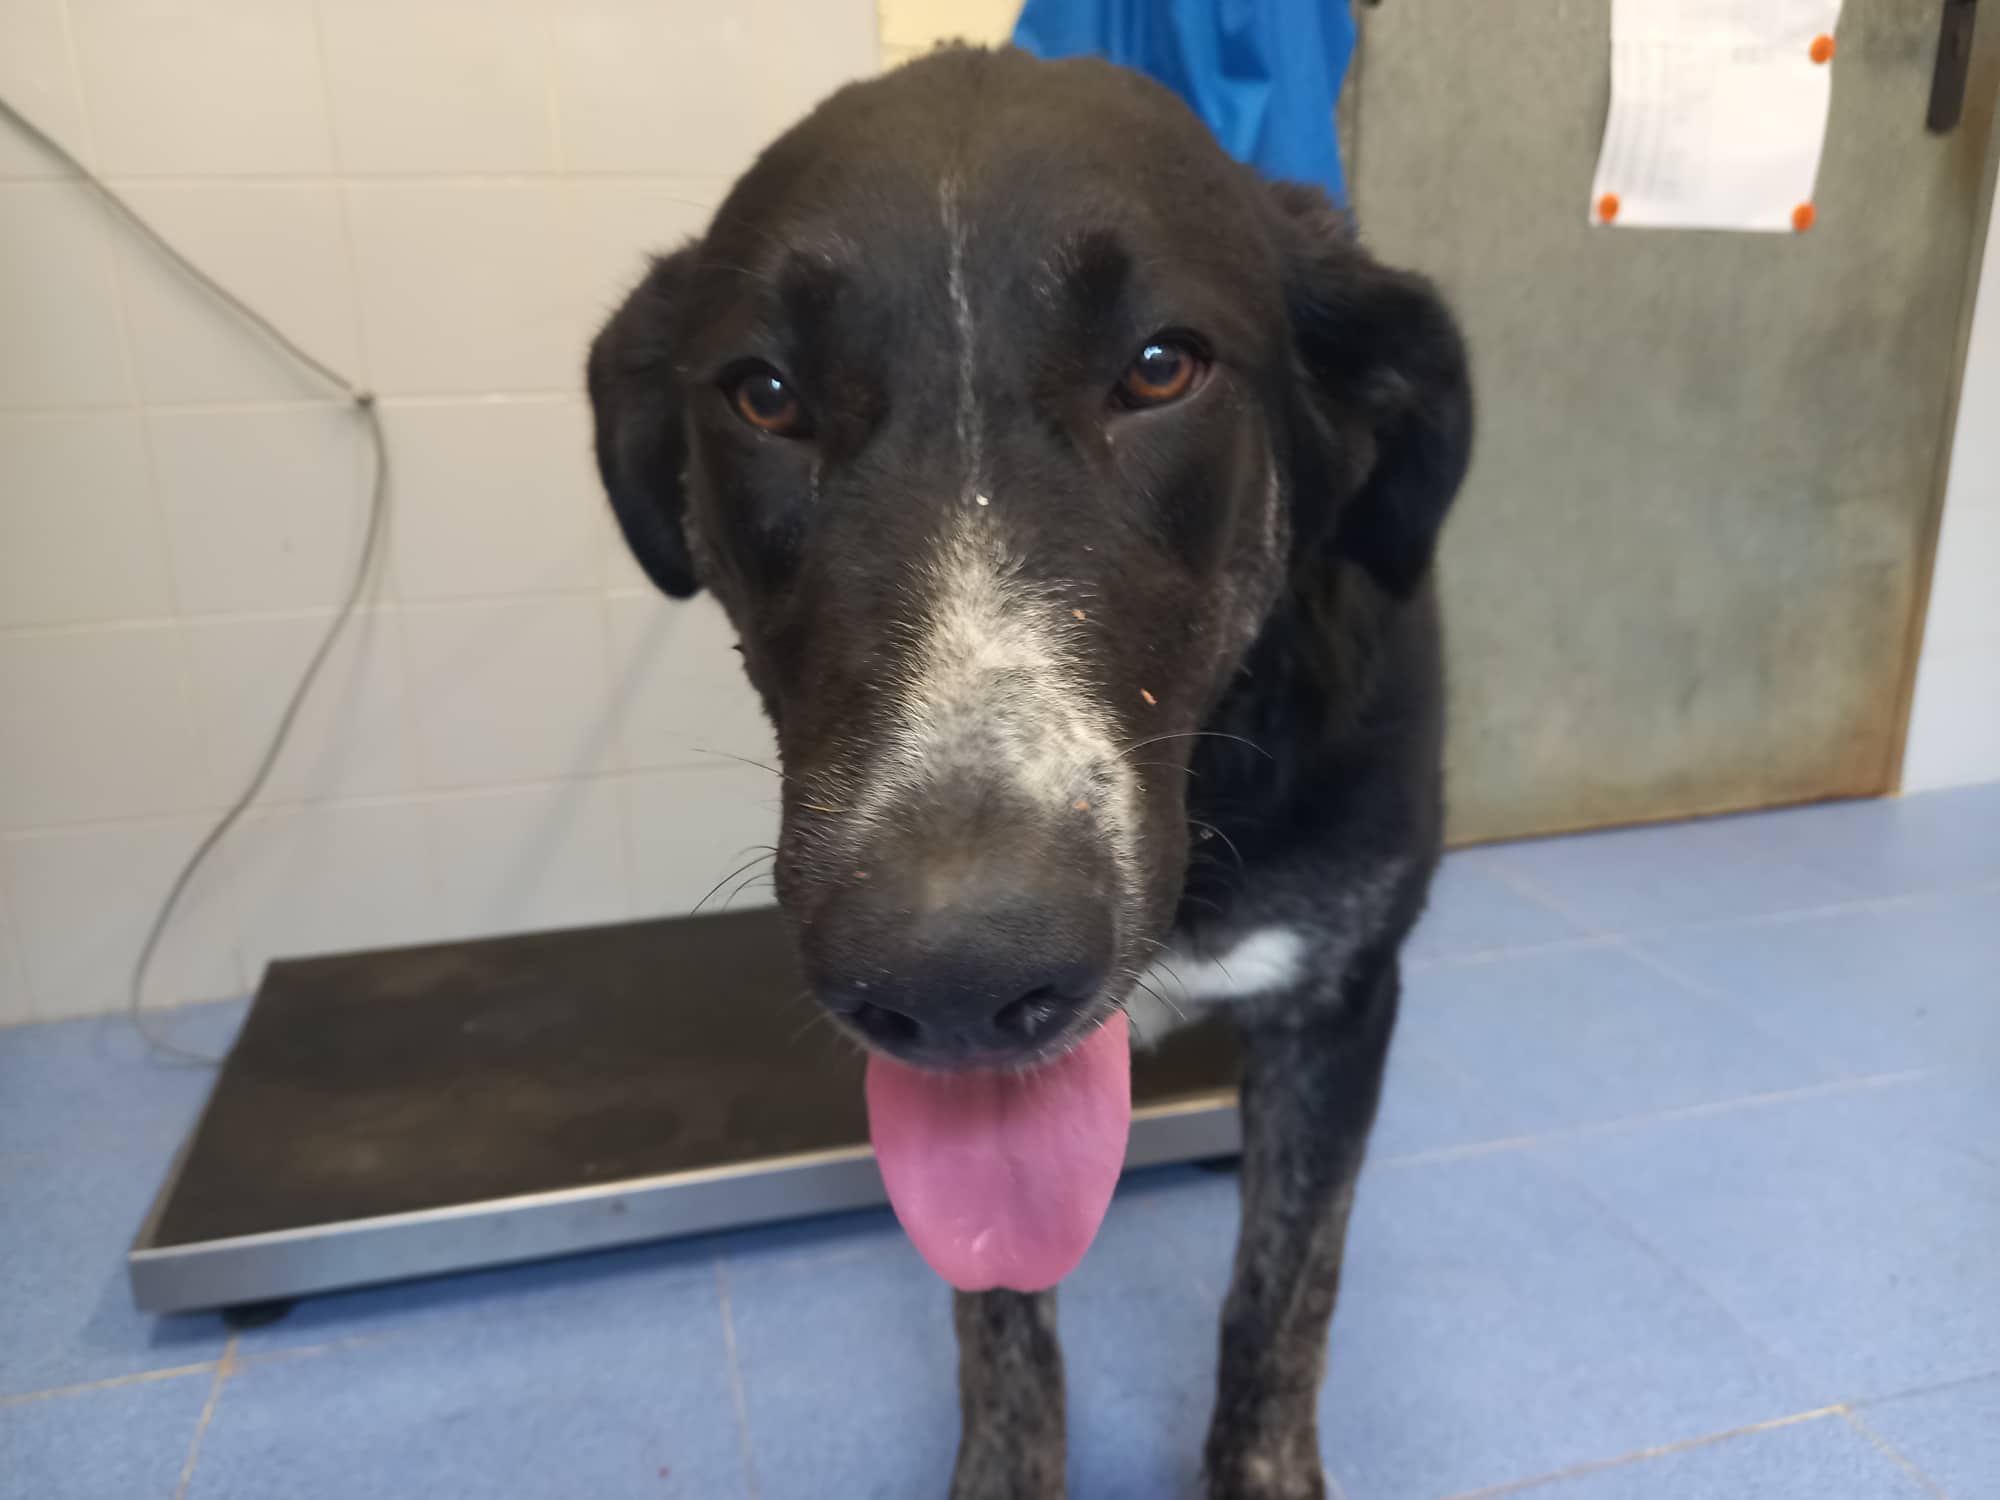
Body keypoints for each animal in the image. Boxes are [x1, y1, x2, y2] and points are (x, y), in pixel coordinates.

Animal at [588, 45, 1471, 1500]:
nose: (953, 975)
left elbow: (1284, 1293)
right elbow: (999, 1319)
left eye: (1162, 368)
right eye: (765, 395)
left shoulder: (1344, 999)